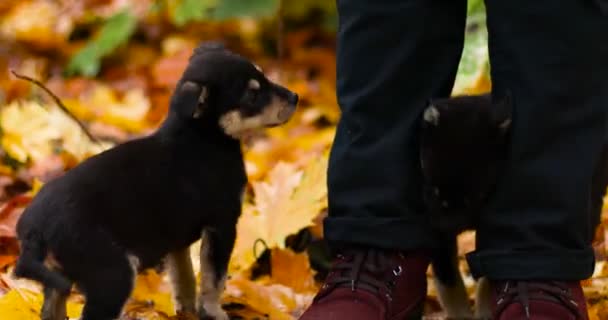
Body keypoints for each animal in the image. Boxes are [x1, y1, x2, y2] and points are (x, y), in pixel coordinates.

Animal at [14, 42, 300, 320]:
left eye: (263, 76)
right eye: (252, 95)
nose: (295, 98)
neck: (202, 137)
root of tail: (34, 227)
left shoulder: (176, 240)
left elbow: (184, 279)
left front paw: (187, 312)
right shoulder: (222, 223)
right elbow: (213, 280)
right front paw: (215, 313)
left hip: (60, 275)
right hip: (112, 273)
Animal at [420, 92, 608, 318]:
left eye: (479, 194)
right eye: (433, 189)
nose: (446, 228)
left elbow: (490, 273)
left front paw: (485, 311)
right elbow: (449, 281)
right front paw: (462, 315)